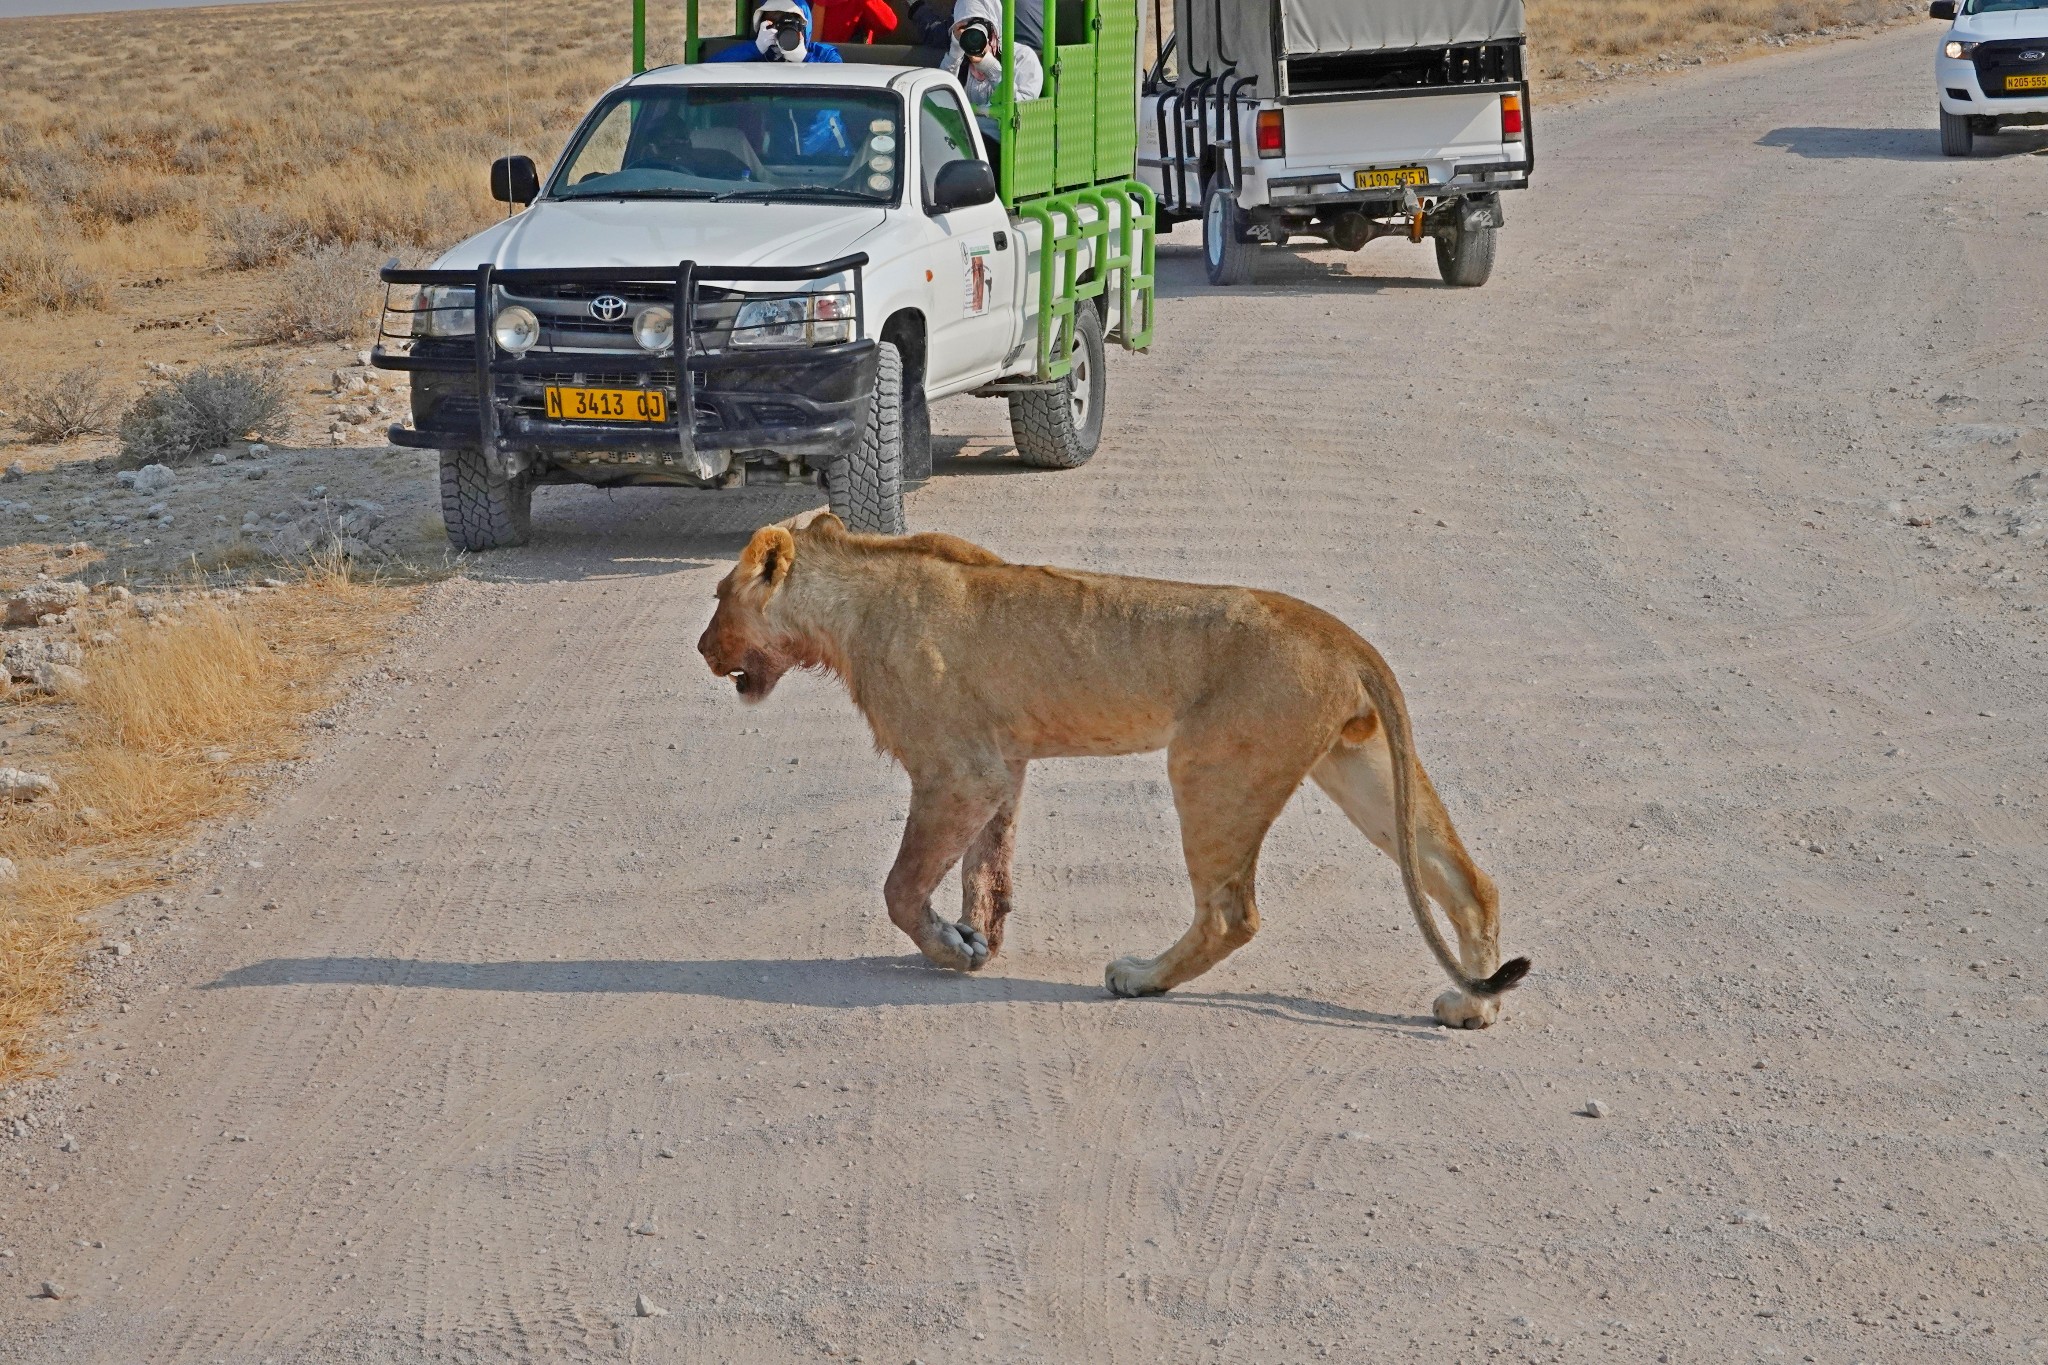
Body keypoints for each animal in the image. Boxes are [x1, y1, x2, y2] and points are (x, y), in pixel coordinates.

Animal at [696, 517, 1531, 1031]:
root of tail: (1346, 637)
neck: (849, 608)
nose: (702, 649)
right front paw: (977, 936)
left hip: (1212, 765)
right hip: (1357, 767)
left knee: (1231, 914)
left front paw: (950, 949)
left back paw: (1141, 975)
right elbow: (985, 866)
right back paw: (1473, 1005)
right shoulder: (1002, 763)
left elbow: (903, 886)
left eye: (717, 597)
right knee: (1469, 881)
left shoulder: (958, 769)